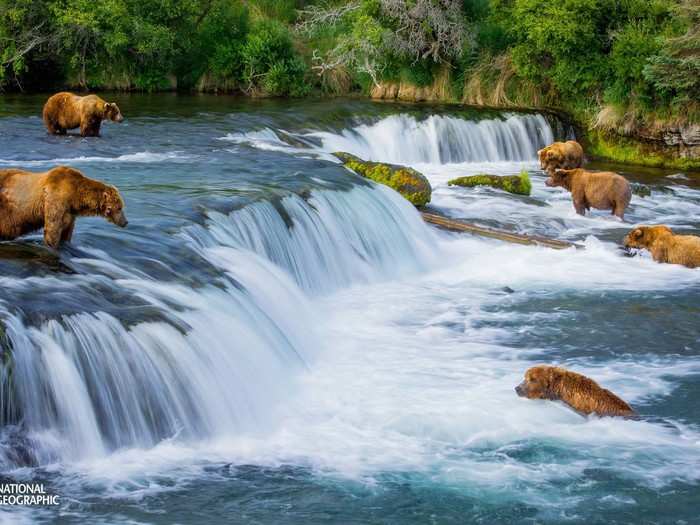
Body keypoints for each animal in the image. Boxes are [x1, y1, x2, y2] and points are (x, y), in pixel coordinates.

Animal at [0, 168, 128, 250]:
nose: (125, 222)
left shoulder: (70, 212)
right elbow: (52, 228)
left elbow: (67, 230)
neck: (74, 195)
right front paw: (52, 246)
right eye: (119, 208)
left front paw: (65, 243)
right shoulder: (55, 199)